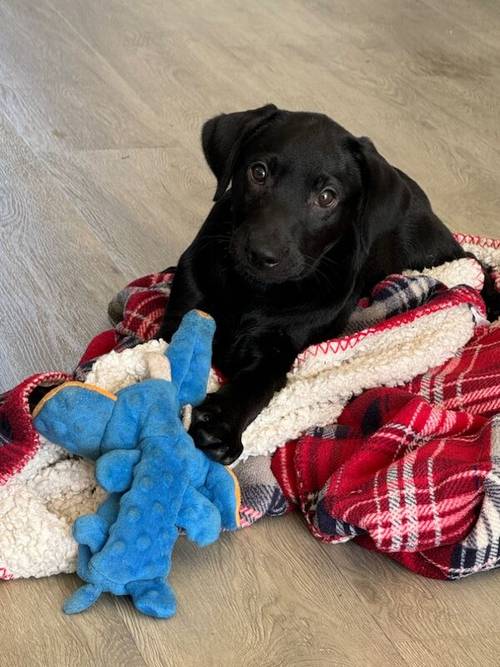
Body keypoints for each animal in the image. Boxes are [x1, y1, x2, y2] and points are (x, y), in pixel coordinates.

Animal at [158, 107, 498, 468]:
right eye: (258, 172)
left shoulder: (280, 351)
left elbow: (257, 384)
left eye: (326, 198)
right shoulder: (186, 306)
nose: (262, 254)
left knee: (475, 262)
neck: (256, 292)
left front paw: (221, 424)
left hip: (424, 250)